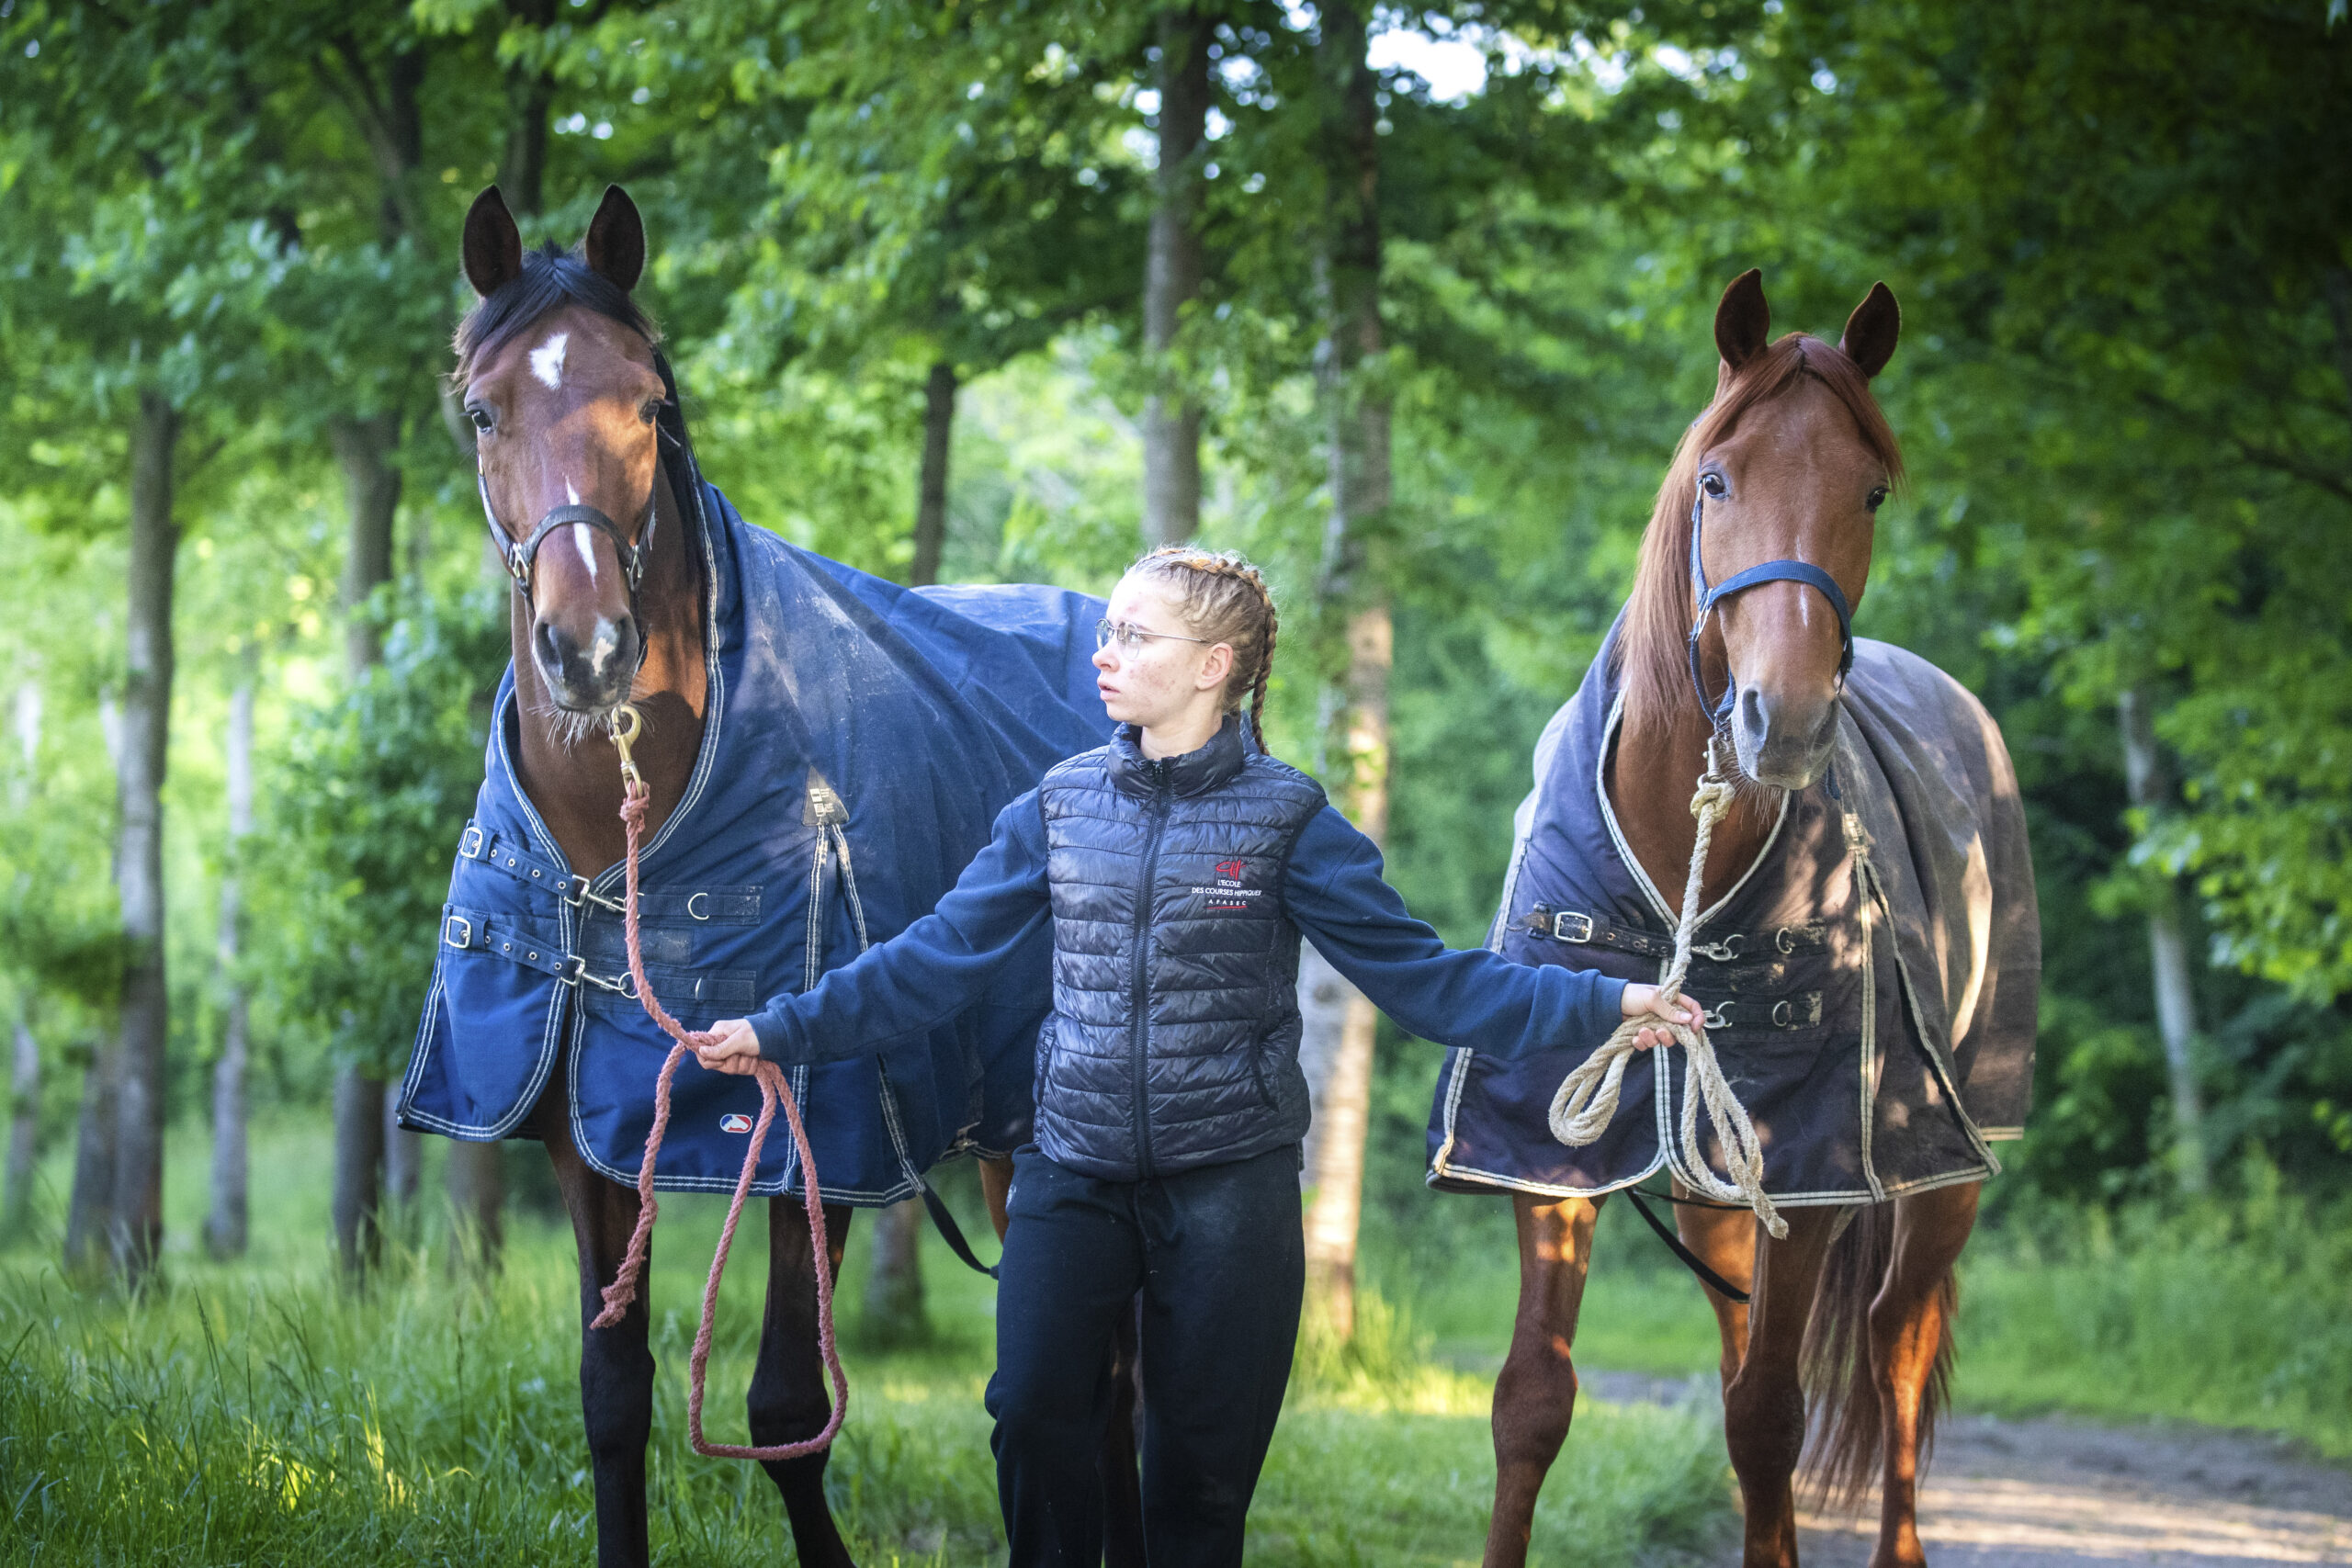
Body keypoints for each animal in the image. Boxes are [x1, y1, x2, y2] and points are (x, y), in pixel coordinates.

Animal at [400, 184, 1147, 1568]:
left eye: (648, 403)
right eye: (482, 410)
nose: (588, 649)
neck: (633, 847)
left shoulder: (816, 1142)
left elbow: (788, 1408)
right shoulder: (586, 1140)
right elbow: (613, 1393)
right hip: (1020, 1136)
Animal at [1423, 270, 2040, 1568]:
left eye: (1871, 489)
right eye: (1716, 480)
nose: (1782, 718)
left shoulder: (1809, 1173)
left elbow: (1770, 1418)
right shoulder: (1547, 1156)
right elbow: (1531, 1402)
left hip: (1945, 1174)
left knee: (1893, 1353)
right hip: (1709, 1182)